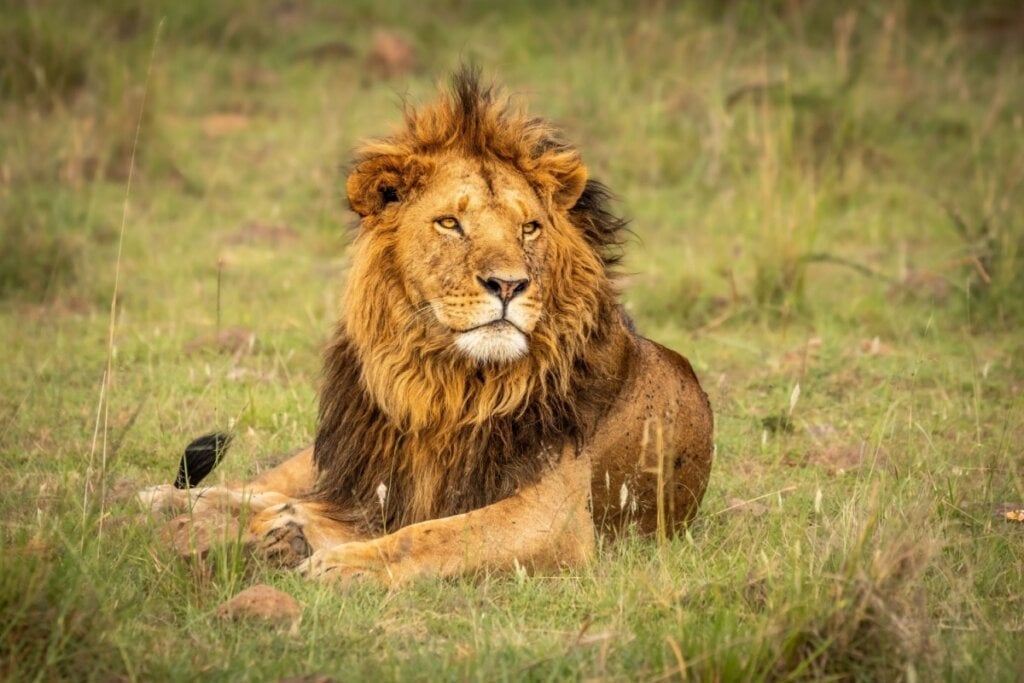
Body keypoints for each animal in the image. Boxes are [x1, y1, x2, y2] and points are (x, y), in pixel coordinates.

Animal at [142, 66, 712, 585]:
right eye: (450, 223)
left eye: (529, 228)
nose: (509, 285)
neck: (444, 382)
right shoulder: (372, 486)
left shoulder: (556, 517)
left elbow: (435, 534)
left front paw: (346, 562)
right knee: (256, 483)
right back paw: (165, 499)